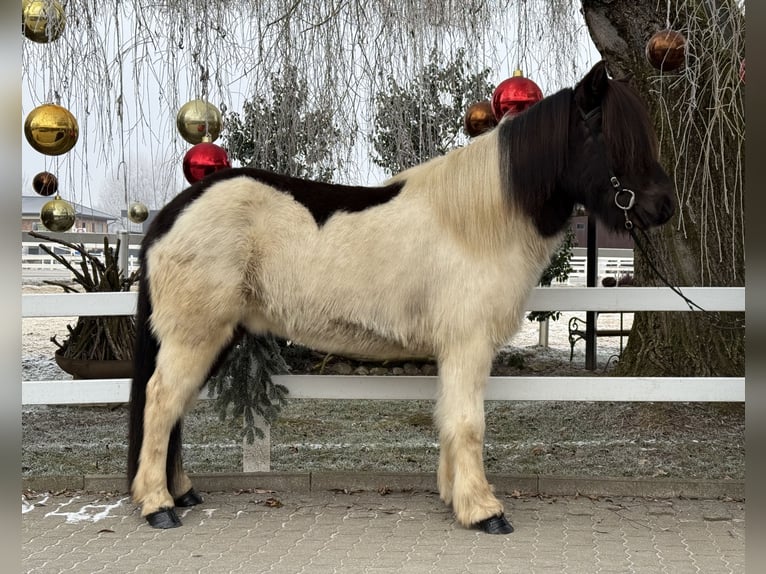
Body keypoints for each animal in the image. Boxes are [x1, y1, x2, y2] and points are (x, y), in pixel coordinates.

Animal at [127, 60, 675, 534]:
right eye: (610, 137)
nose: (664, 207)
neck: (478, 221)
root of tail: (170, 215)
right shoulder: (468, 344)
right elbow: (468, 422)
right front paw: (484, 511)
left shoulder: (455, 350)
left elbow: (450, 419)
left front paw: (456, 497)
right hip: (196, 336)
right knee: (161, 403)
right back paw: (158, 506)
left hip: (212, 339)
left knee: (174, 410)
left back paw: (181, 493)